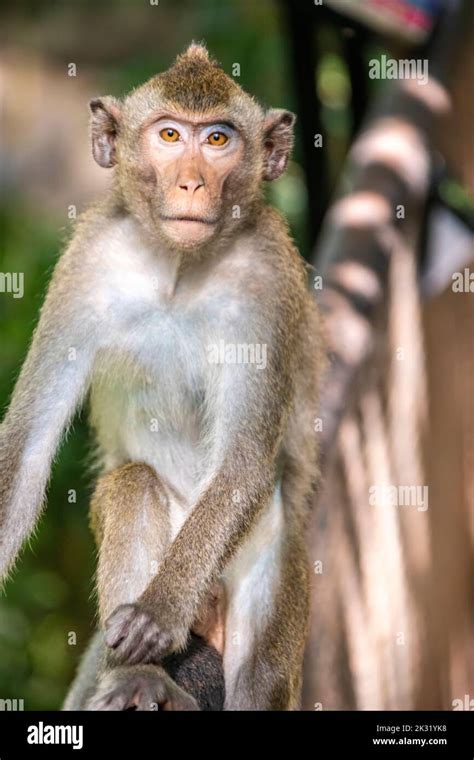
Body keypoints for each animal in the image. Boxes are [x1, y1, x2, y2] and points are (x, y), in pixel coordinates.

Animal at [0, 43, 323, 710]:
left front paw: (159, 613)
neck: (178, 265)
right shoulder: (88, 261)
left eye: (219, 138)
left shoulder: (267, 279)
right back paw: (138, 675)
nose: (191, 182)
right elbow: (27, 447)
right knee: (135, 484)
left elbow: (244, 461)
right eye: (170, 135)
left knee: (259, 662)